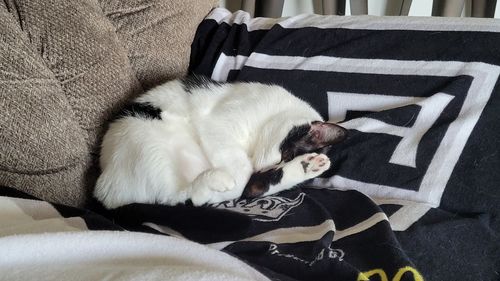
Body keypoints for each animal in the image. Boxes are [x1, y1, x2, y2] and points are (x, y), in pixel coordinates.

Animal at [94, 75, 346, 208]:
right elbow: (242, 172)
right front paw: (239, 177)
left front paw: (302, 166)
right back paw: (220, 179)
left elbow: (252, 187)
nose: (266, 169)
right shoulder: (218, 123)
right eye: (285, 155)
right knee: (178, 197)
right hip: (146, 144)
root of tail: (104, 189)